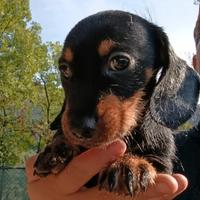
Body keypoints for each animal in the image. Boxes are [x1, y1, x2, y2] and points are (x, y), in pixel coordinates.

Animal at [33, 10, 199, 197]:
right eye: (64, 69)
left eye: (120, 62)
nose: (78, 130)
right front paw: (58, 147)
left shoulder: (164, 161)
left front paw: (130, 163)